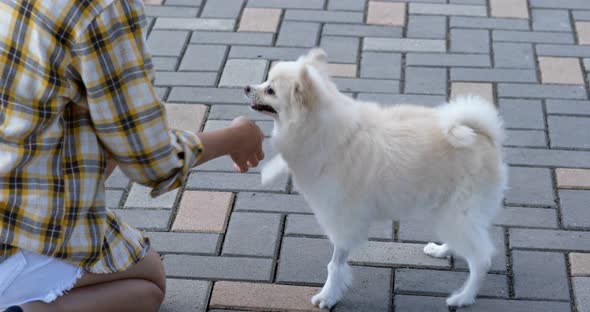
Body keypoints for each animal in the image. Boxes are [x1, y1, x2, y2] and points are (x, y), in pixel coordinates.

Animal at [247, 49, 512, 310]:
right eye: (265, 81)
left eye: (271, 90)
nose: (247, 87)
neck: (319, 129)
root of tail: (483, 135)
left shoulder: (342, 219)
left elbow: (335, 264)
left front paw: (328, 295)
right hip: (448, 212)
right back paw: (441, 251)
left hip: (457, 213)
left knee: (481, 259)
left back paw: (463, 297)